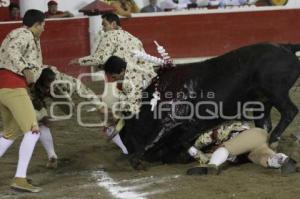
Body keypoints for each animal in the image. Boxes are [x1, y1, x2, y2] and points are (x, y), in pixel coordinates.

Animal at [119, 43, 300, 168]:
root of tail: (286, 47)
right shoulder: (192, 126)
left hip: (276, 92)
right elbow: (179, 141)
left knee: (290, 111)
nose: (127, 149)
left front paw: (136, 160)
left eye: (127, 132)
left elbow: (155, 139)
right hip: (262, 102)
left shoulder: (172, 121)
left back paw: (274, 140)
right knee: (265, 124)